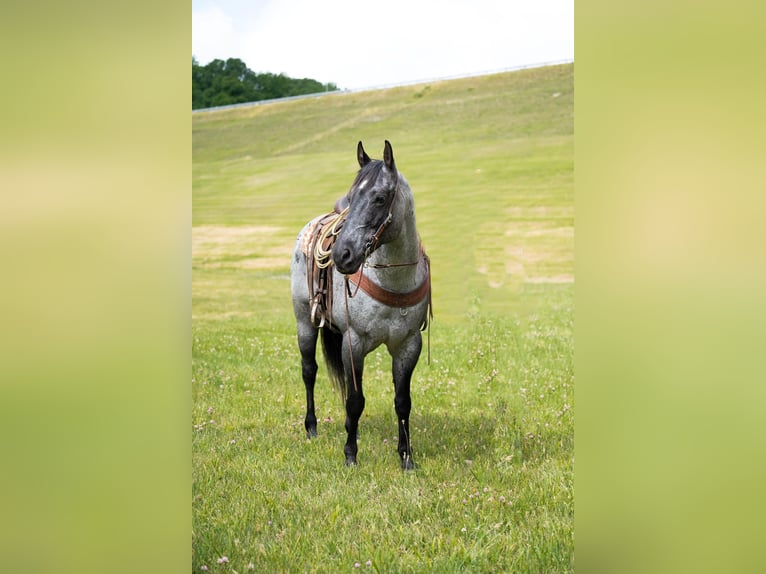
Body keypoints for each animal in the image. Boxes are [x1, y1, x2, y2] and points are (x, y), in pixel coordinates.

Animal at [290, 141, 432, 472]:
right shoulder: (353, 342)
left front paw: (406, 457)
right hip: (305, 322)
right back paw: (311, 427)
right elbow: (355, 400)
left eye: (379, 198)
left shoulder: (408, 345)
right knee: (309, 371)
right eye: (352, 196)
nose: (342, 255)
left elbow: (402, 402)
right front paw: (350, 454)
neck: (393, 279)